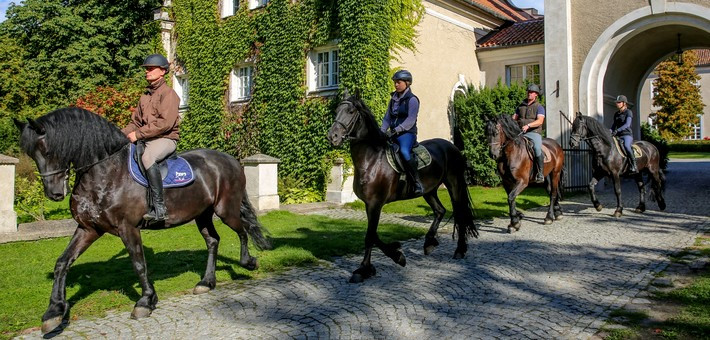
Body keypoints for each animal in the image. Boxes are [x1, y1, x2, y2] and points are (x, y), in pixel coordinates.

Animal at [17, 109, 272, 334]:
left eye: (48, 150)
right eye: (32, 154)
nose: (54, 194)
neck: (105, 173)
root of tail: (231, 160)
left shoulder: (127, 227)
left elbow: (138, 263)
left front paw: (146, 301)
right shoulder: (89, 228)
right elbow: (62, 262)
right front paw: (53, 312)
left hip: (226, 210)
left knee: (243, 230)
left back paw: (248, 262)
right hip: (202, 214)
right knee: (213, 240)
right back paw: (206, 282)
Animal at [328, 91, 478, 282]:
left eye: (350, 111)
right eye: (337, 110)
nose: (332, 136)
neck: (372, 159)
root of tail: (453, 147)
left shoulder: (375, 204)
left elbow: (370, 236)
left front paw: (364, 269)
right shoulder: (369, 205)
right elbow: (373, 234)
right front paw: (394, 253)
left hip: (454, 184)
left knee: (459, 213)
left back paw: (459, 250)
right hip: (429, 191)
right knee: (440, 211)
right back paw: (429, 243)